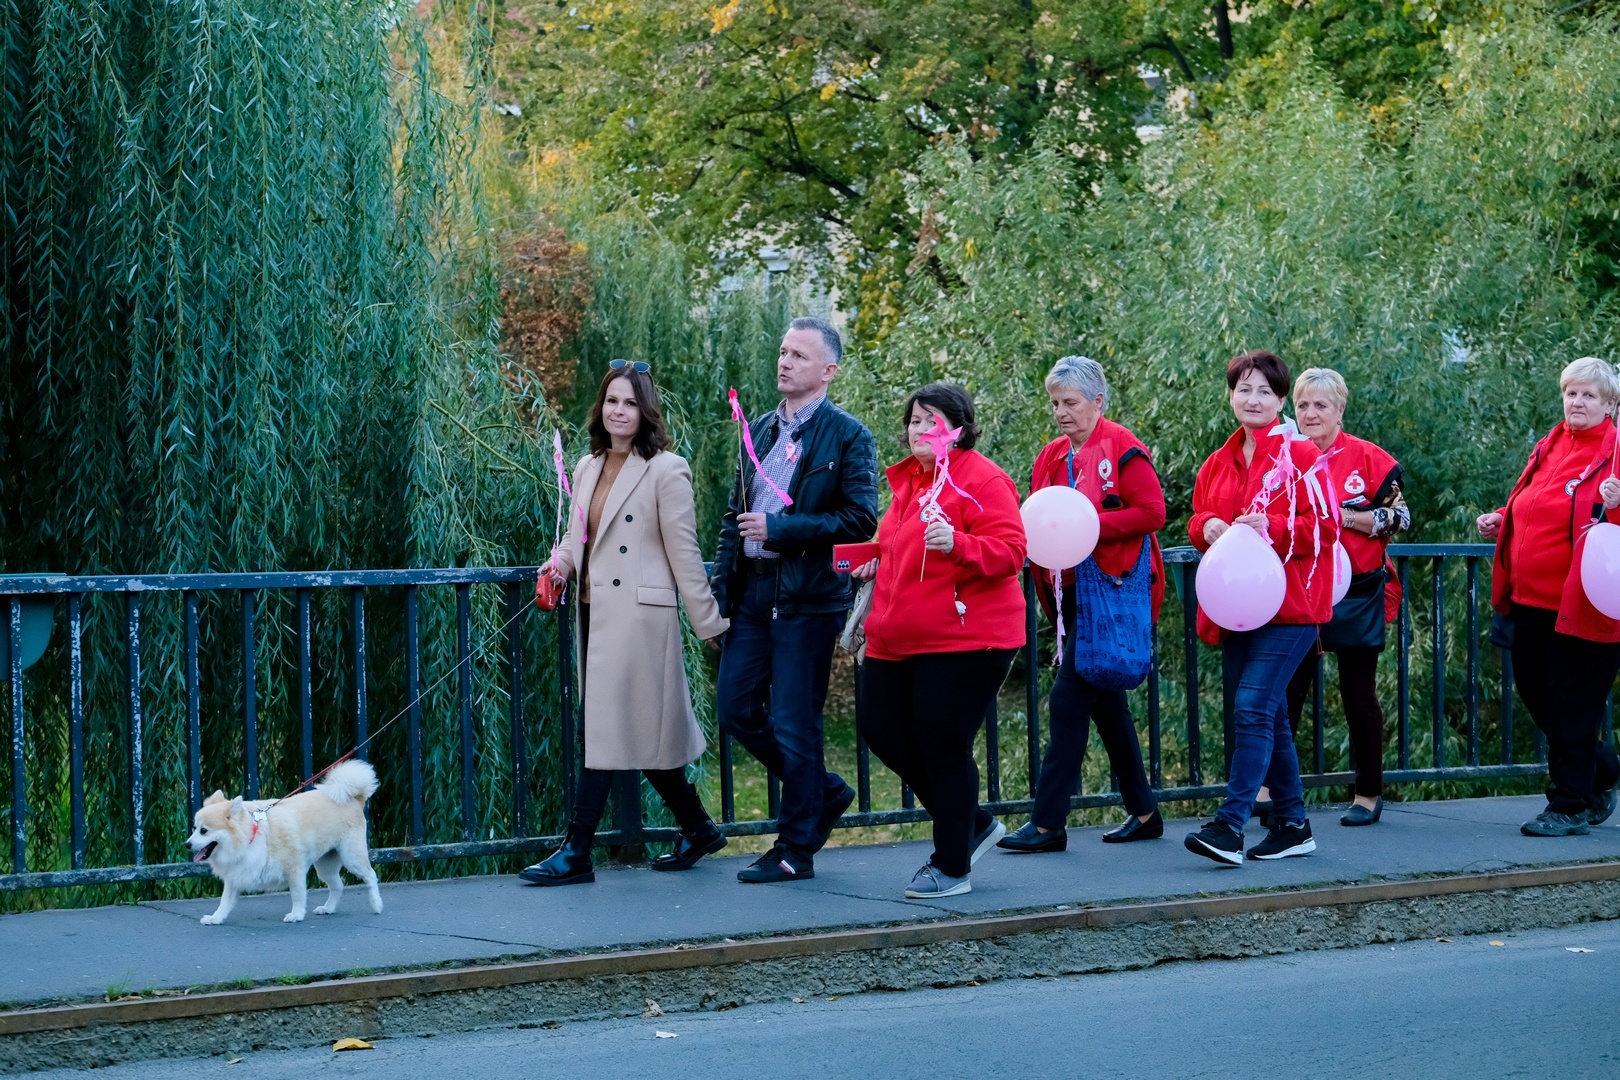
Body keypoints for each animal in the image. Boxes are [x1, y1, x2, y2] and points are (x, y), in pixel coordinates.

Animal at [186, 759, 383, 925]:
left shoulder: (294, 870)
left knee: (371, 875)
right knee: (337, 886)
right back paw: (328, 908)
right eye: (194, 828)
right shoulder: (237, 874)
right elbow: (224, 902)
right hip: (326, 866)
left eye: (204, 831)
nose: (187, 844)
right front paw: (216, 918)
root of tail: (354, 799)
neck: (251, 836)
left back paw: (376, 904)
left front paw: (296, 914)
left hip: (352, 858)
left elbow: (297, 894)